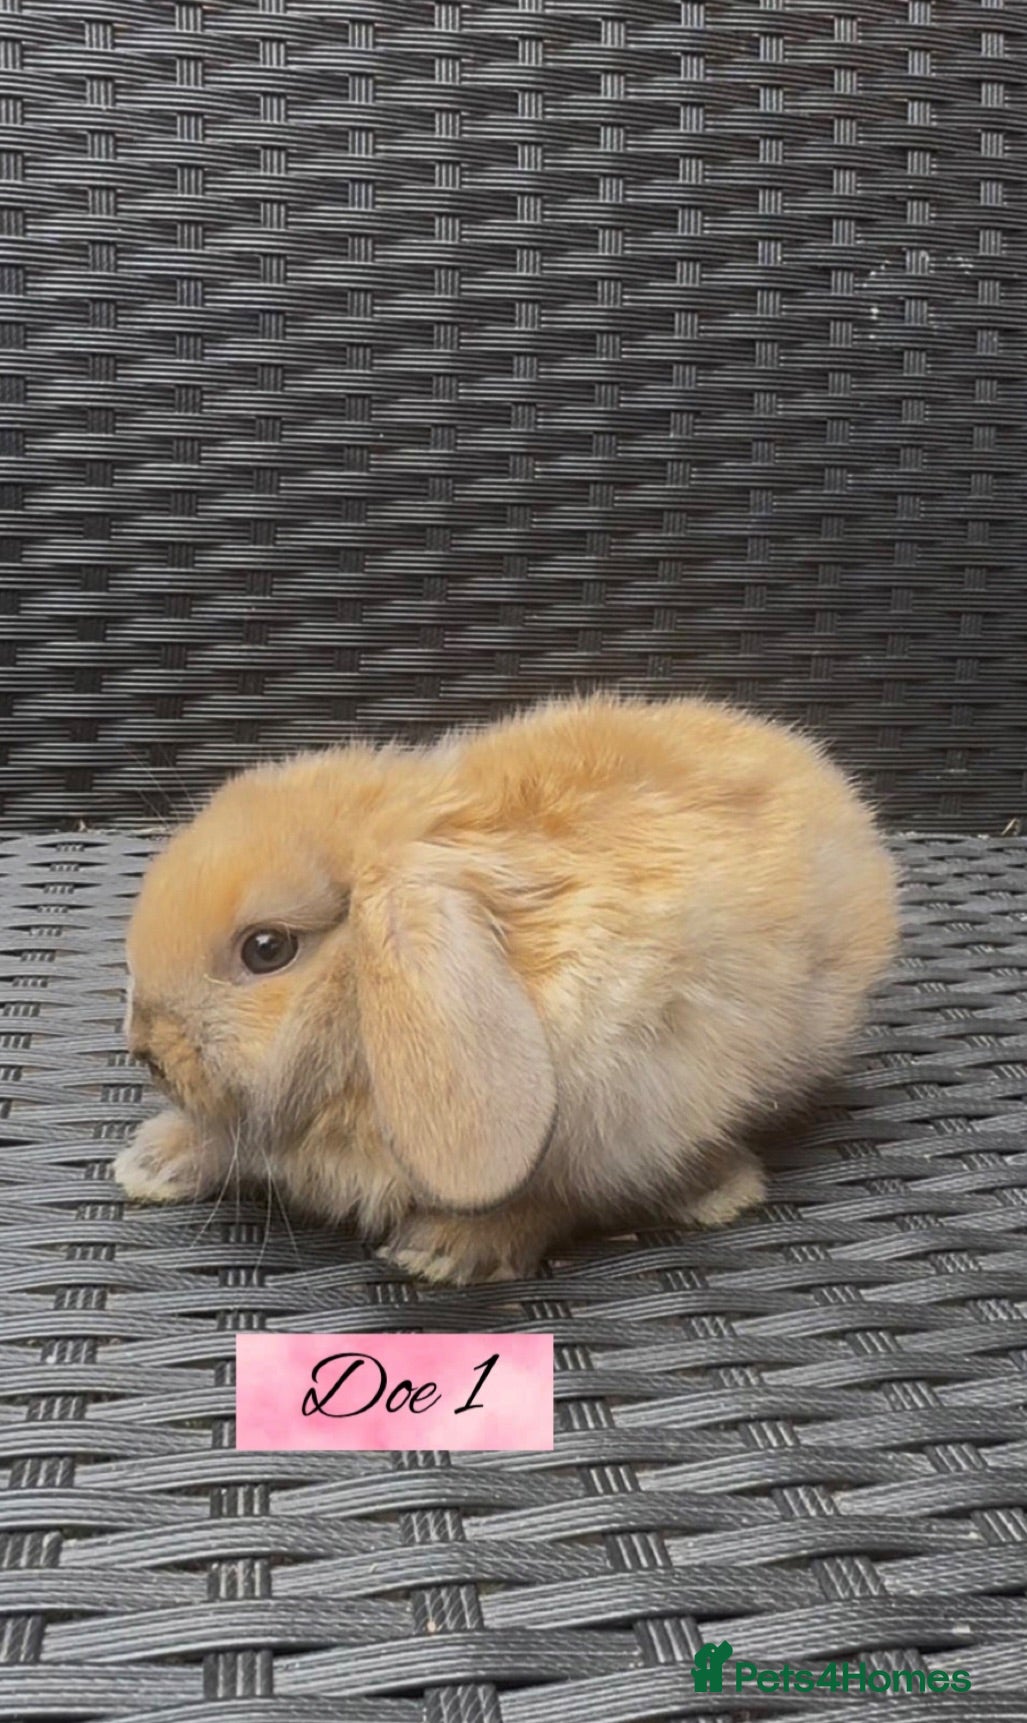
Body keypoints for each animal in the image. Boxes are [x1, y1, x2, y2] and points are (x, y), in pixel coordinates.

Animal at [114, 693, 898, 1285]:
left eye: (266, 949)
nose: (145, 1048)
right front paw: (152, 1162)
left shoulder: (623, 1112)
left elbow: (553, 1200)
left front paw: (441, 1250)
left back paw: (716, 1191)